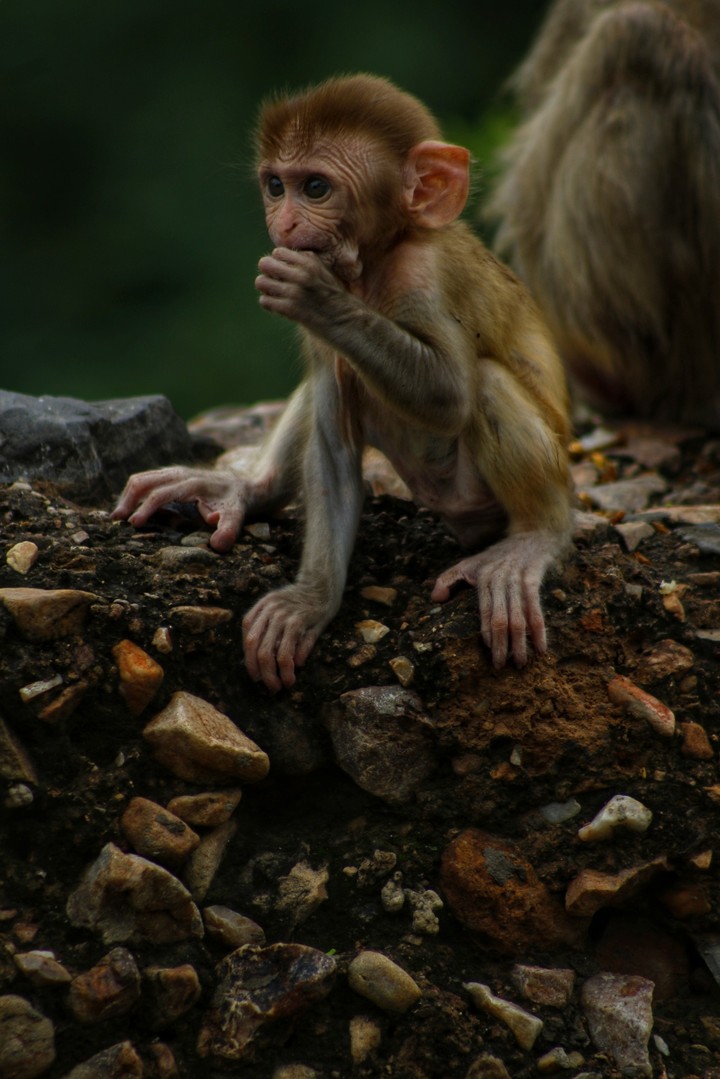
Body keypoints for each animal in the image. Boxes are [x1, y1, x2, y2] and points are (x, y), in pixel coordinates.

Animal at [114, 74, 572, 693]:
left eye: (316, 187)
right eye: (276, 186)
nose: (284, 225)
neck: (378, 258)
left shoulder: (424, 274)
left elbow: (450, 394)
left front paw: (317, 294)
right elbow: (331, 444)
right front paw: (309, 603)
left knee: (485, 385)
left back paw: (534, 538)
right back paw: (247, 488)